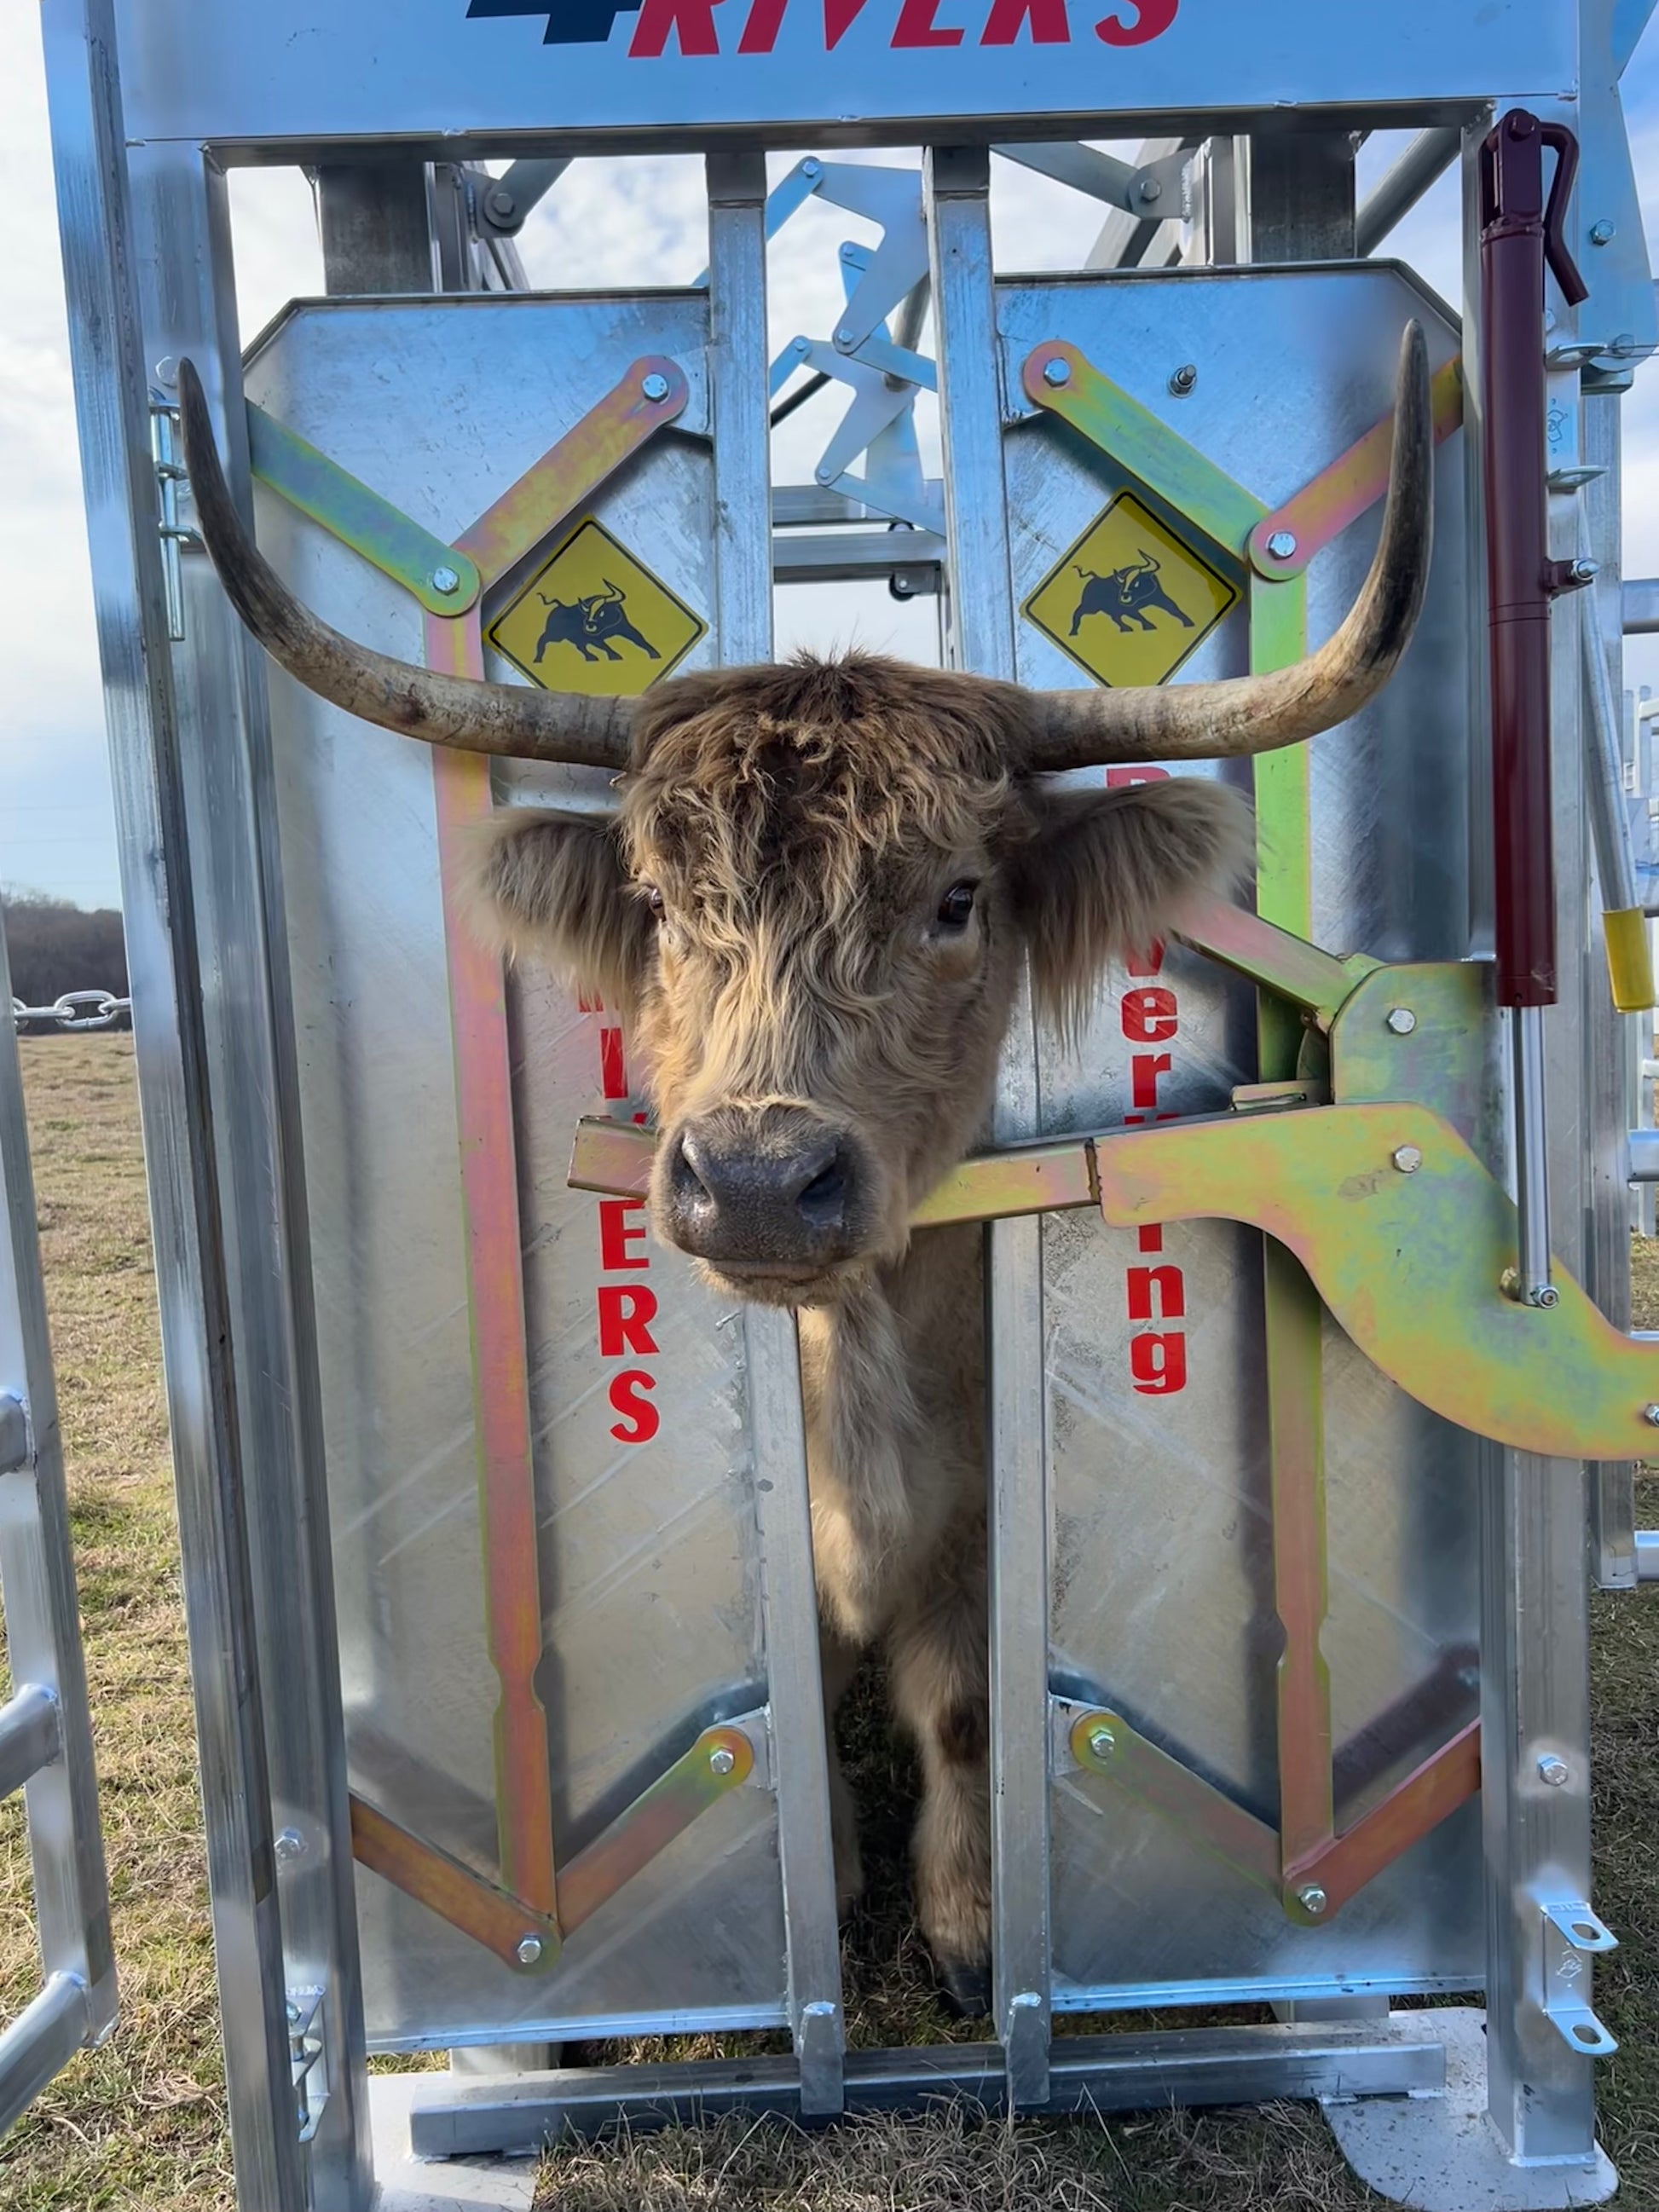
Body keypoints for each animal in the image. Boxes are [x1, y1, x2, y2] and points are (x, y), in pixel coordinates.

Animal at [533, 579, 662, 666]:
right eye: (588, 613)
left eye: (602, 612)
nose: (589, 625)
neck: (607, 628)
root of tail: (560, 607)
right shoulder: (593, 638)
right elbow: (605, 646)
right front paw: (615, 657)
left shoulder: (626, 629)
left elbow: (639, 639)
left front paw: (655, 654)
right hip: (556, 635)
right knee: (543, 639)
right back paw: (537, 659)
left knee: (580, 647)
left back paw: (591, 658)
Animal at [1071, 549, 1195, 637]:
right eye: (1124, 584)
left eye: (1137, 583)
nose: (1124, 597)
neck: (1142, 598)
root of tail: (1094, 579)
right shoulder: (1128, 608)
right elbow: (1139, 616)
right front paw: (1149, 626)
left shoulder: (1159, 598)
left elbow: (1173, 608)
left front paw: (1188, 622)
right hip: (1091, 607)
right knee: (1078, 612)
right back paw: (1073, 632)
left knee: (1115, 618)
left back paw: (1126, 629)